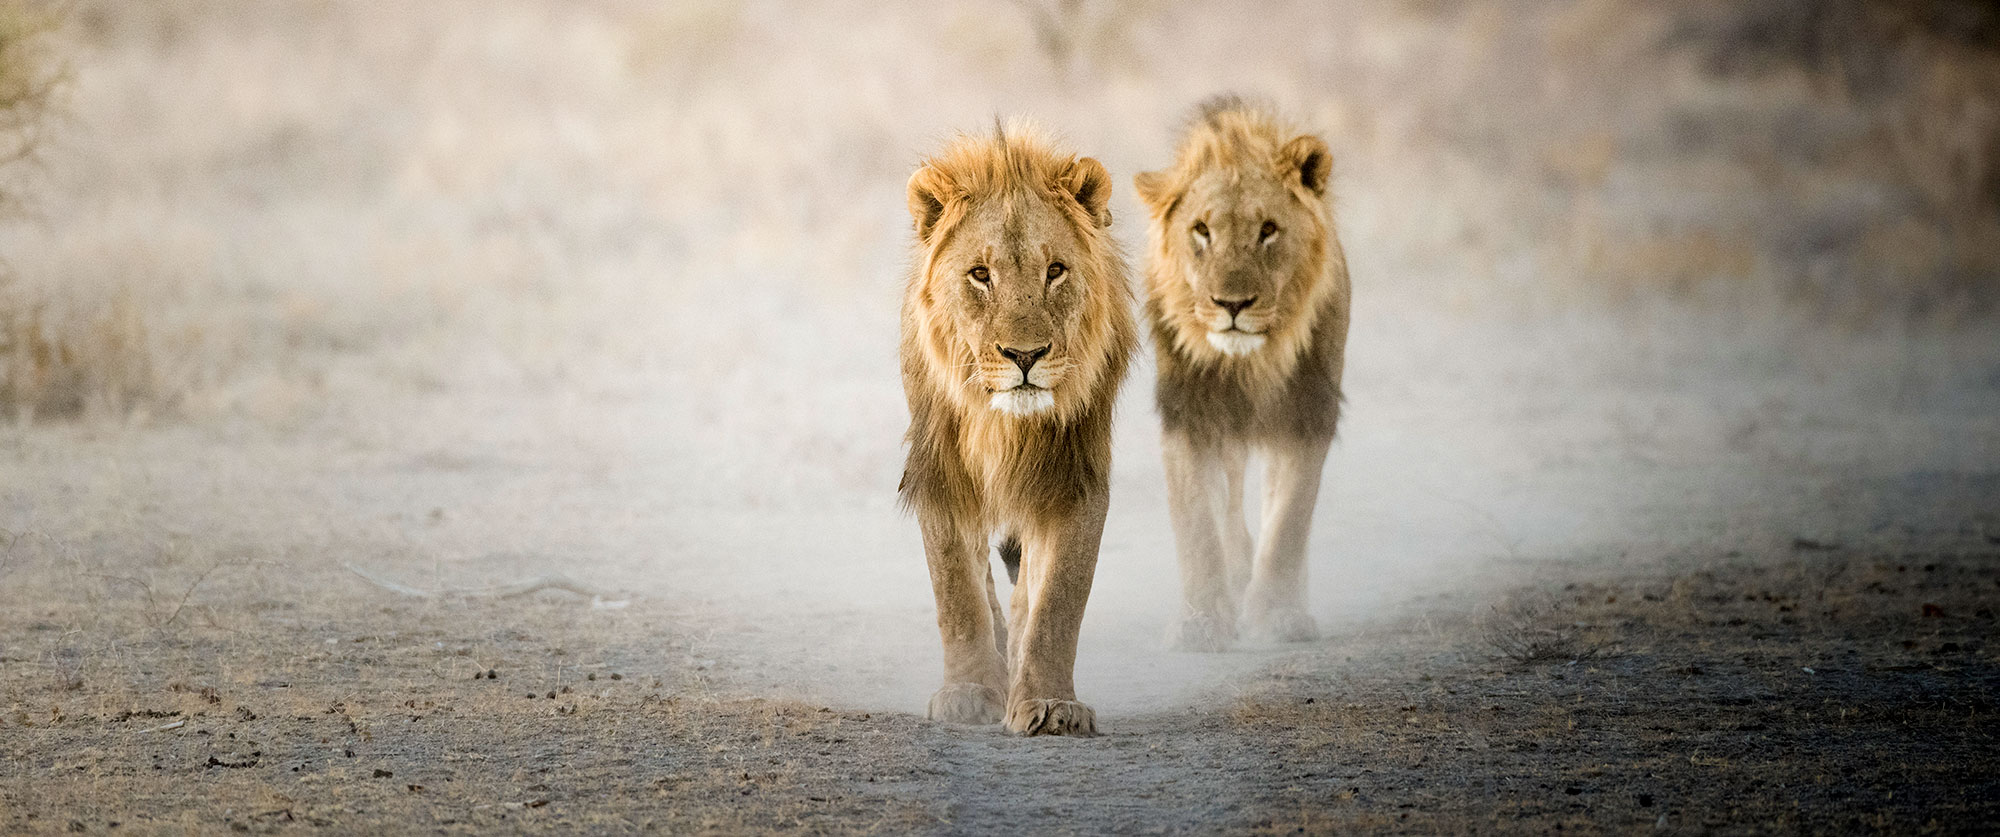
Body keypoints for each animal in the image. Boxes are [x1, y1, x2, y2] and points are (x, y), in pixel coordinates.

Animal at [900, 121, 1136, 736]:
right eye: (980, 275)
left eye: (1055, 270)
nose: (1024, 356)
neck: (1005, 426)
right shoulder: (941, 473)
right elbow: (956, 592)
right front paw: (968, 693)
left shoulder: (1076, 478)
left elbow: (1058, 600)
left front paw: (1051, 704)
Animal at [1136, 99, 1352, 652]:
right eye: (1201, 230)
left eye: (1268, 229)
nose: (1232, 305)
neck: (1250, 363)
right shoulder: (1189, 415)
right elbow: (1198, 526)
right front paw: (1201, 621)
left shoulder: (1306, 414)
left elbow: (1290, 519)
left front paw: (1278, 614)